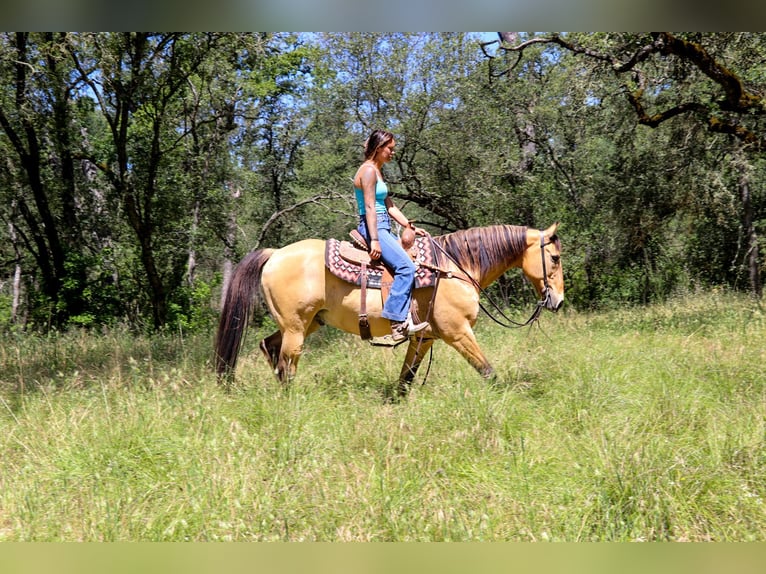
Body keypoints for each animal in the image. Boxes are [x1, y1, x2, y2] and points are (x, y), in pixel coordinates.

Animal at [214, 222, 564, 398]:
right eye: (556, 258)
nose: (557, 301)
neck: (454, 267)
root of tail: (275, 254)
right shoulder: (458, 333)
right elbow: (488, 370)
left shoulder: (424, 339)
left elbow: (406, 378)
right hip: (296, 329)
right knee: (287, 363)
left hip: (308, 324)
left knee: (268, 347)